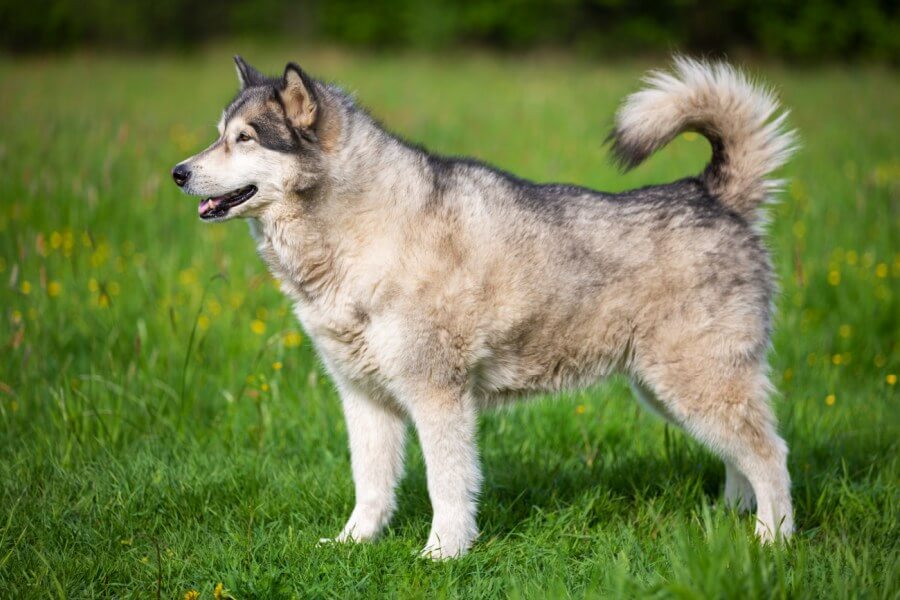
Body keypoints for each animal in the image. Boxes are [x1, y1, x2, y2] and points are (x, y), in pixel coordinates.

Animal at [174, 56, 796, 556]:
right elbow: (369, 485)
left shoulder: (438, 393)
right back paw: (732, 519)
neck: (364, 232)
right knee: (742, 459)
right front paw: (352, 544)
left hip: (695, 383)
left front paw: (441, 555)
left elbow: (446, 485)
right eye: (219, 135)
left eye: (246, 138)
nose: (179, 172)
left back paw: (772, 541)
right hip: (670, 391)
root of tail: (711, 194)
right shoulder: (364, 398)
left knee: (772, 456)